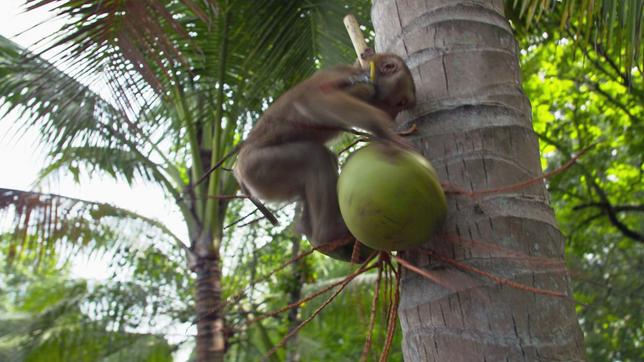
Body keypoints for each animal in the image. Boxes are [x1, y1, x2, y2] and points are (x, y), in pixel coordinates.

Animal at [234, 53, 416, 264]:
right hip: (259, 168)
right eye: (401, 103)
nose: (393, 115)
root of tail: (238, 171)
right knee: (314, 158)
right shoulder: (355, 83)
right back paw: (328, 233)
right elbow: (313, 101)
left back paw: (309, 228)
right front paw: (385, 133)